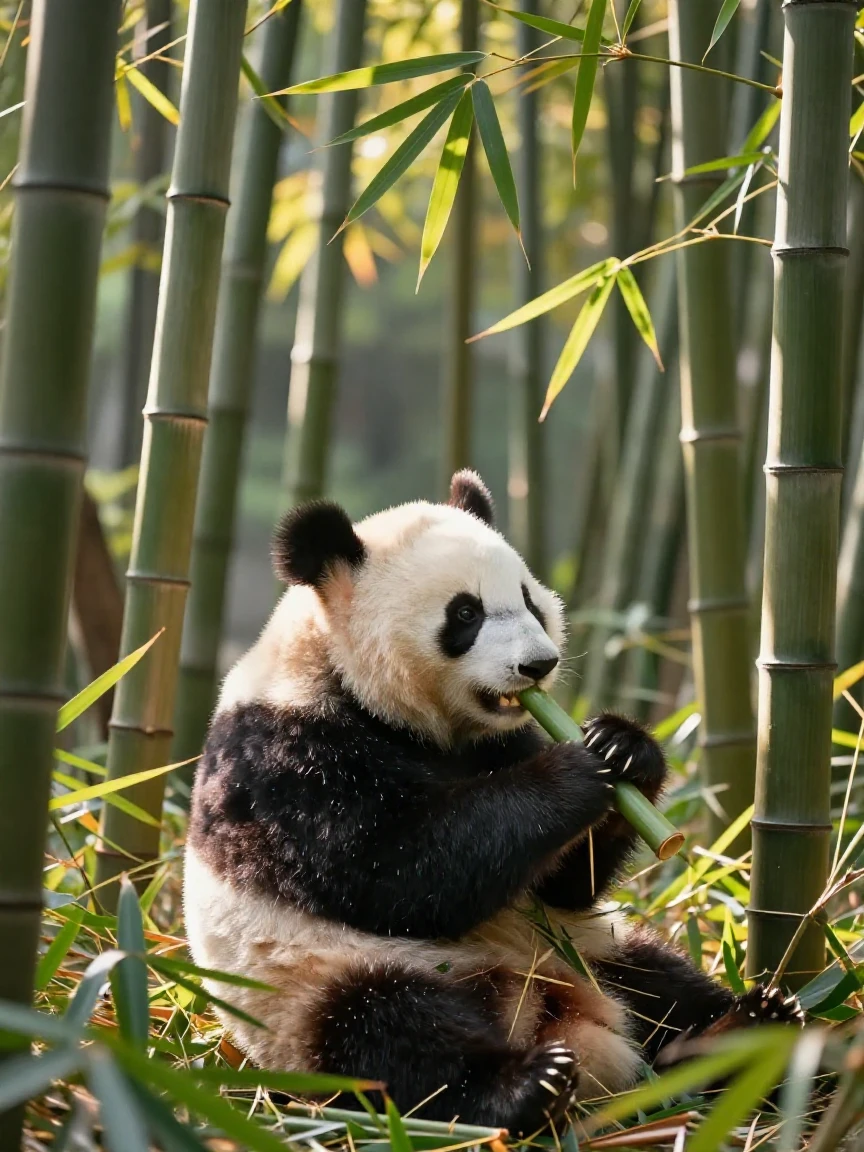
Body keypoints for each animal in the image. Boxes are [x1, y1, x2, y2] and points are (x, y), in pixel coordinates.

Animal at [184, 470, 803, 1134]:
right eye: (465, 613)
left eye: (530, 600)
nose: (539, 664)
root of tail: (548, 1012)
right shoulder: (285, 760)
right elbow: (395, 871)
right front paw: (572, 774)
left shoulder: (504, 742)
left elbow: (564, 884)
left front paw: (623, 747)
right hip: (312, 987)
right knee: (392, 1037)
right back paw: (527, 1085)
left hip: (586, 945)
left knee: (663, 987)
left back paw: (746, 1032)